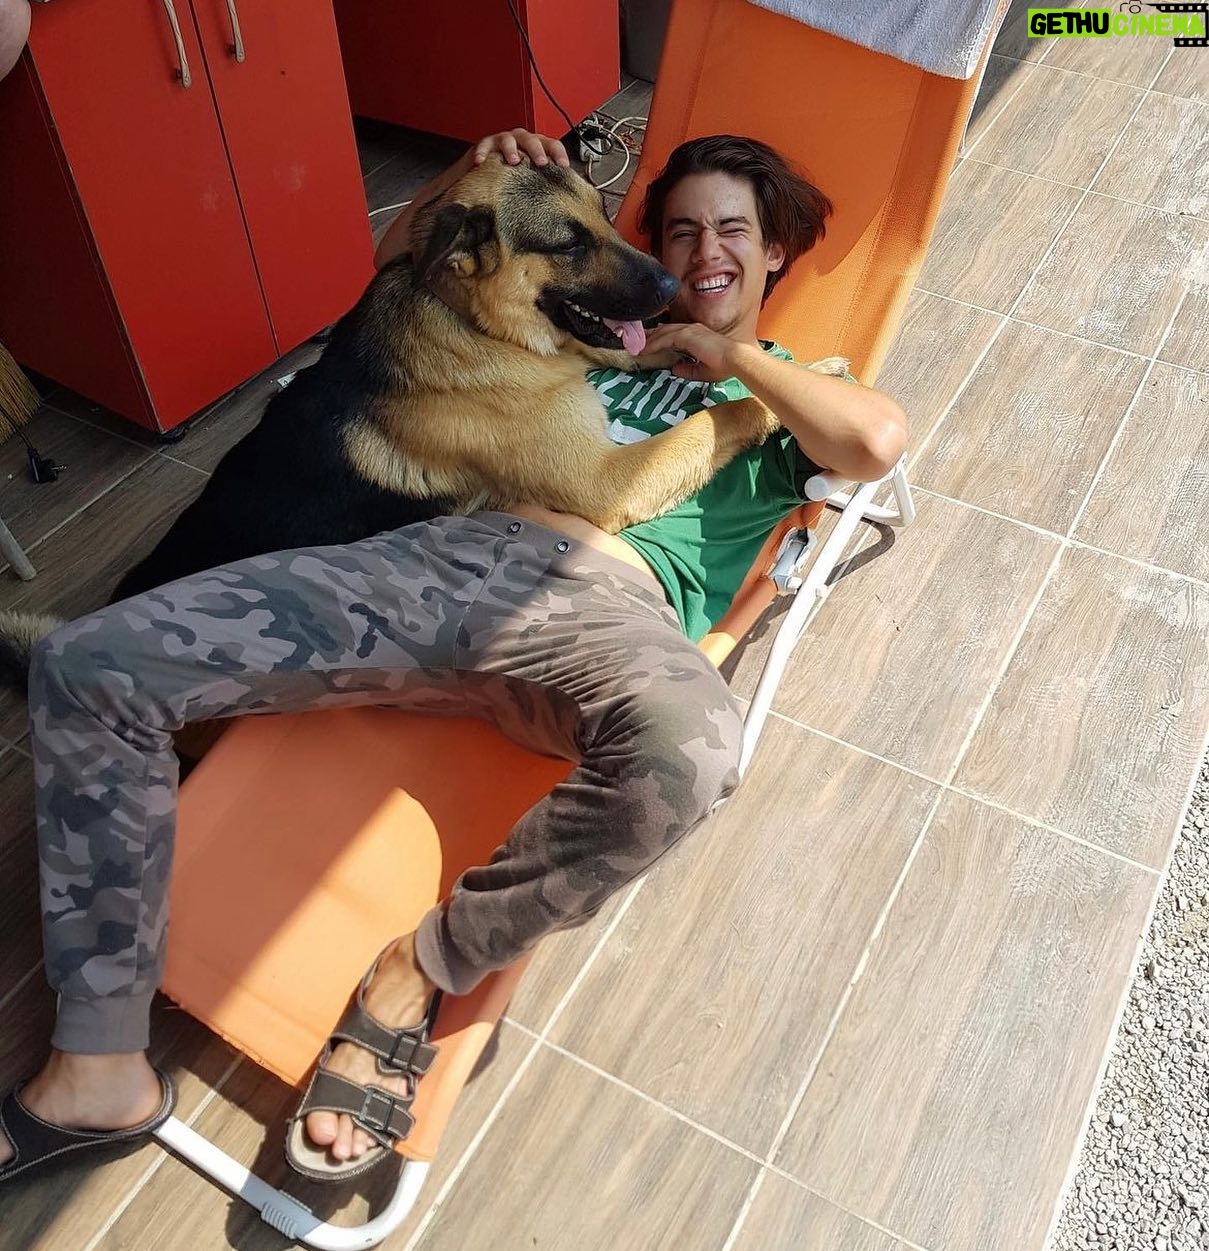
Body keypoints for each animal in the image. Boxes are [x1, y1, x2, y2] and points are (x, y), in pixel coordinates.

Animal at [0, 155, 846, 689]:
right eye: (568, 242)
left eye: (605, 217)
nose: (673, 285)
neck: (473, 326)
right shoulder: (605, 476)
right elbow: (716, 417)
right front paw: (770, 398)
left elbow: (663, 350)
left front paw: (811, 370)